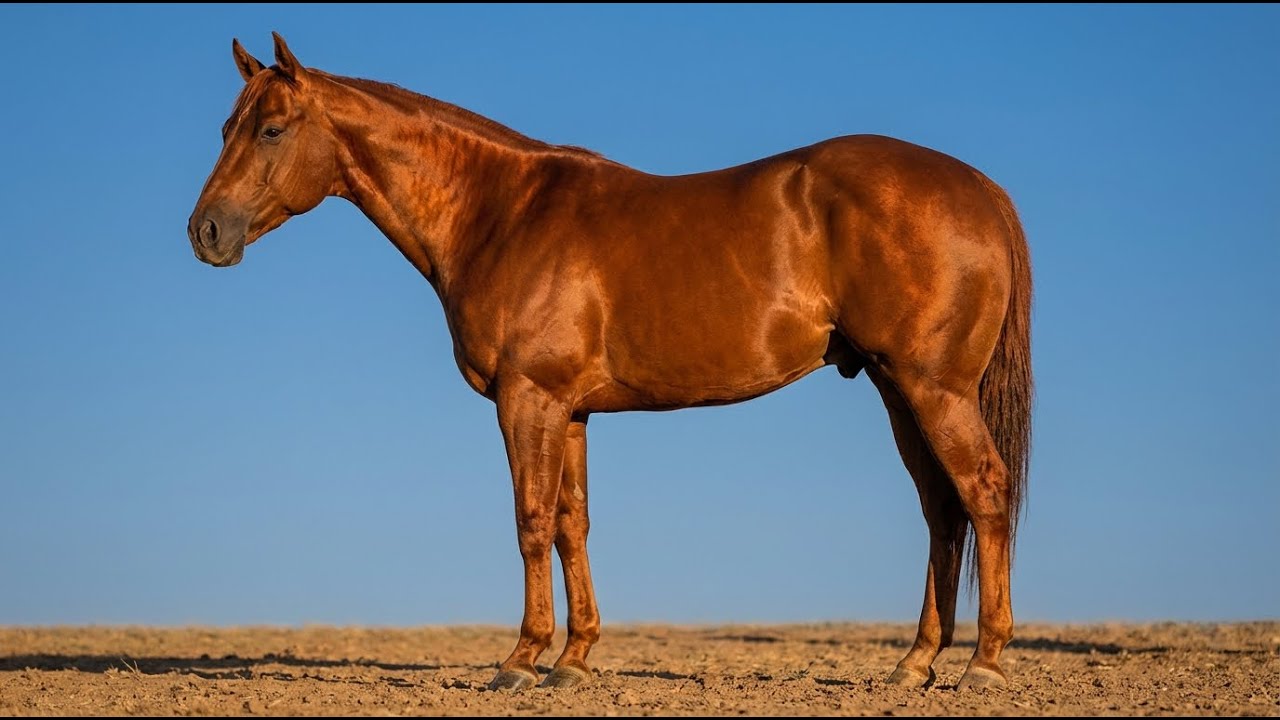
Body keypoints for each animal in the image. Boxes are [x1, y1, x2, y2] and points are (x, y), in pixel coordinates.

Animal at [188, 33, 1033, 692]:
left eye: (271, 129)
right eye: (227, 126)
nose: (206, 232)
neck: (502, 211)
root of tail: (981, 188)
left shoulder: (527, 399)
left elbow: (530, 520)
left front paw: (520, 661)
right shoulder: (571, 410)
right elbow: (574, 524)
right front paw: (574, 660)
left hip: (932, 388)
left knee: (985, 492)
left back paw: (984, 665)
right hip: (898, 389)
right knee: (942, 510)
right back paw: (915, 664)